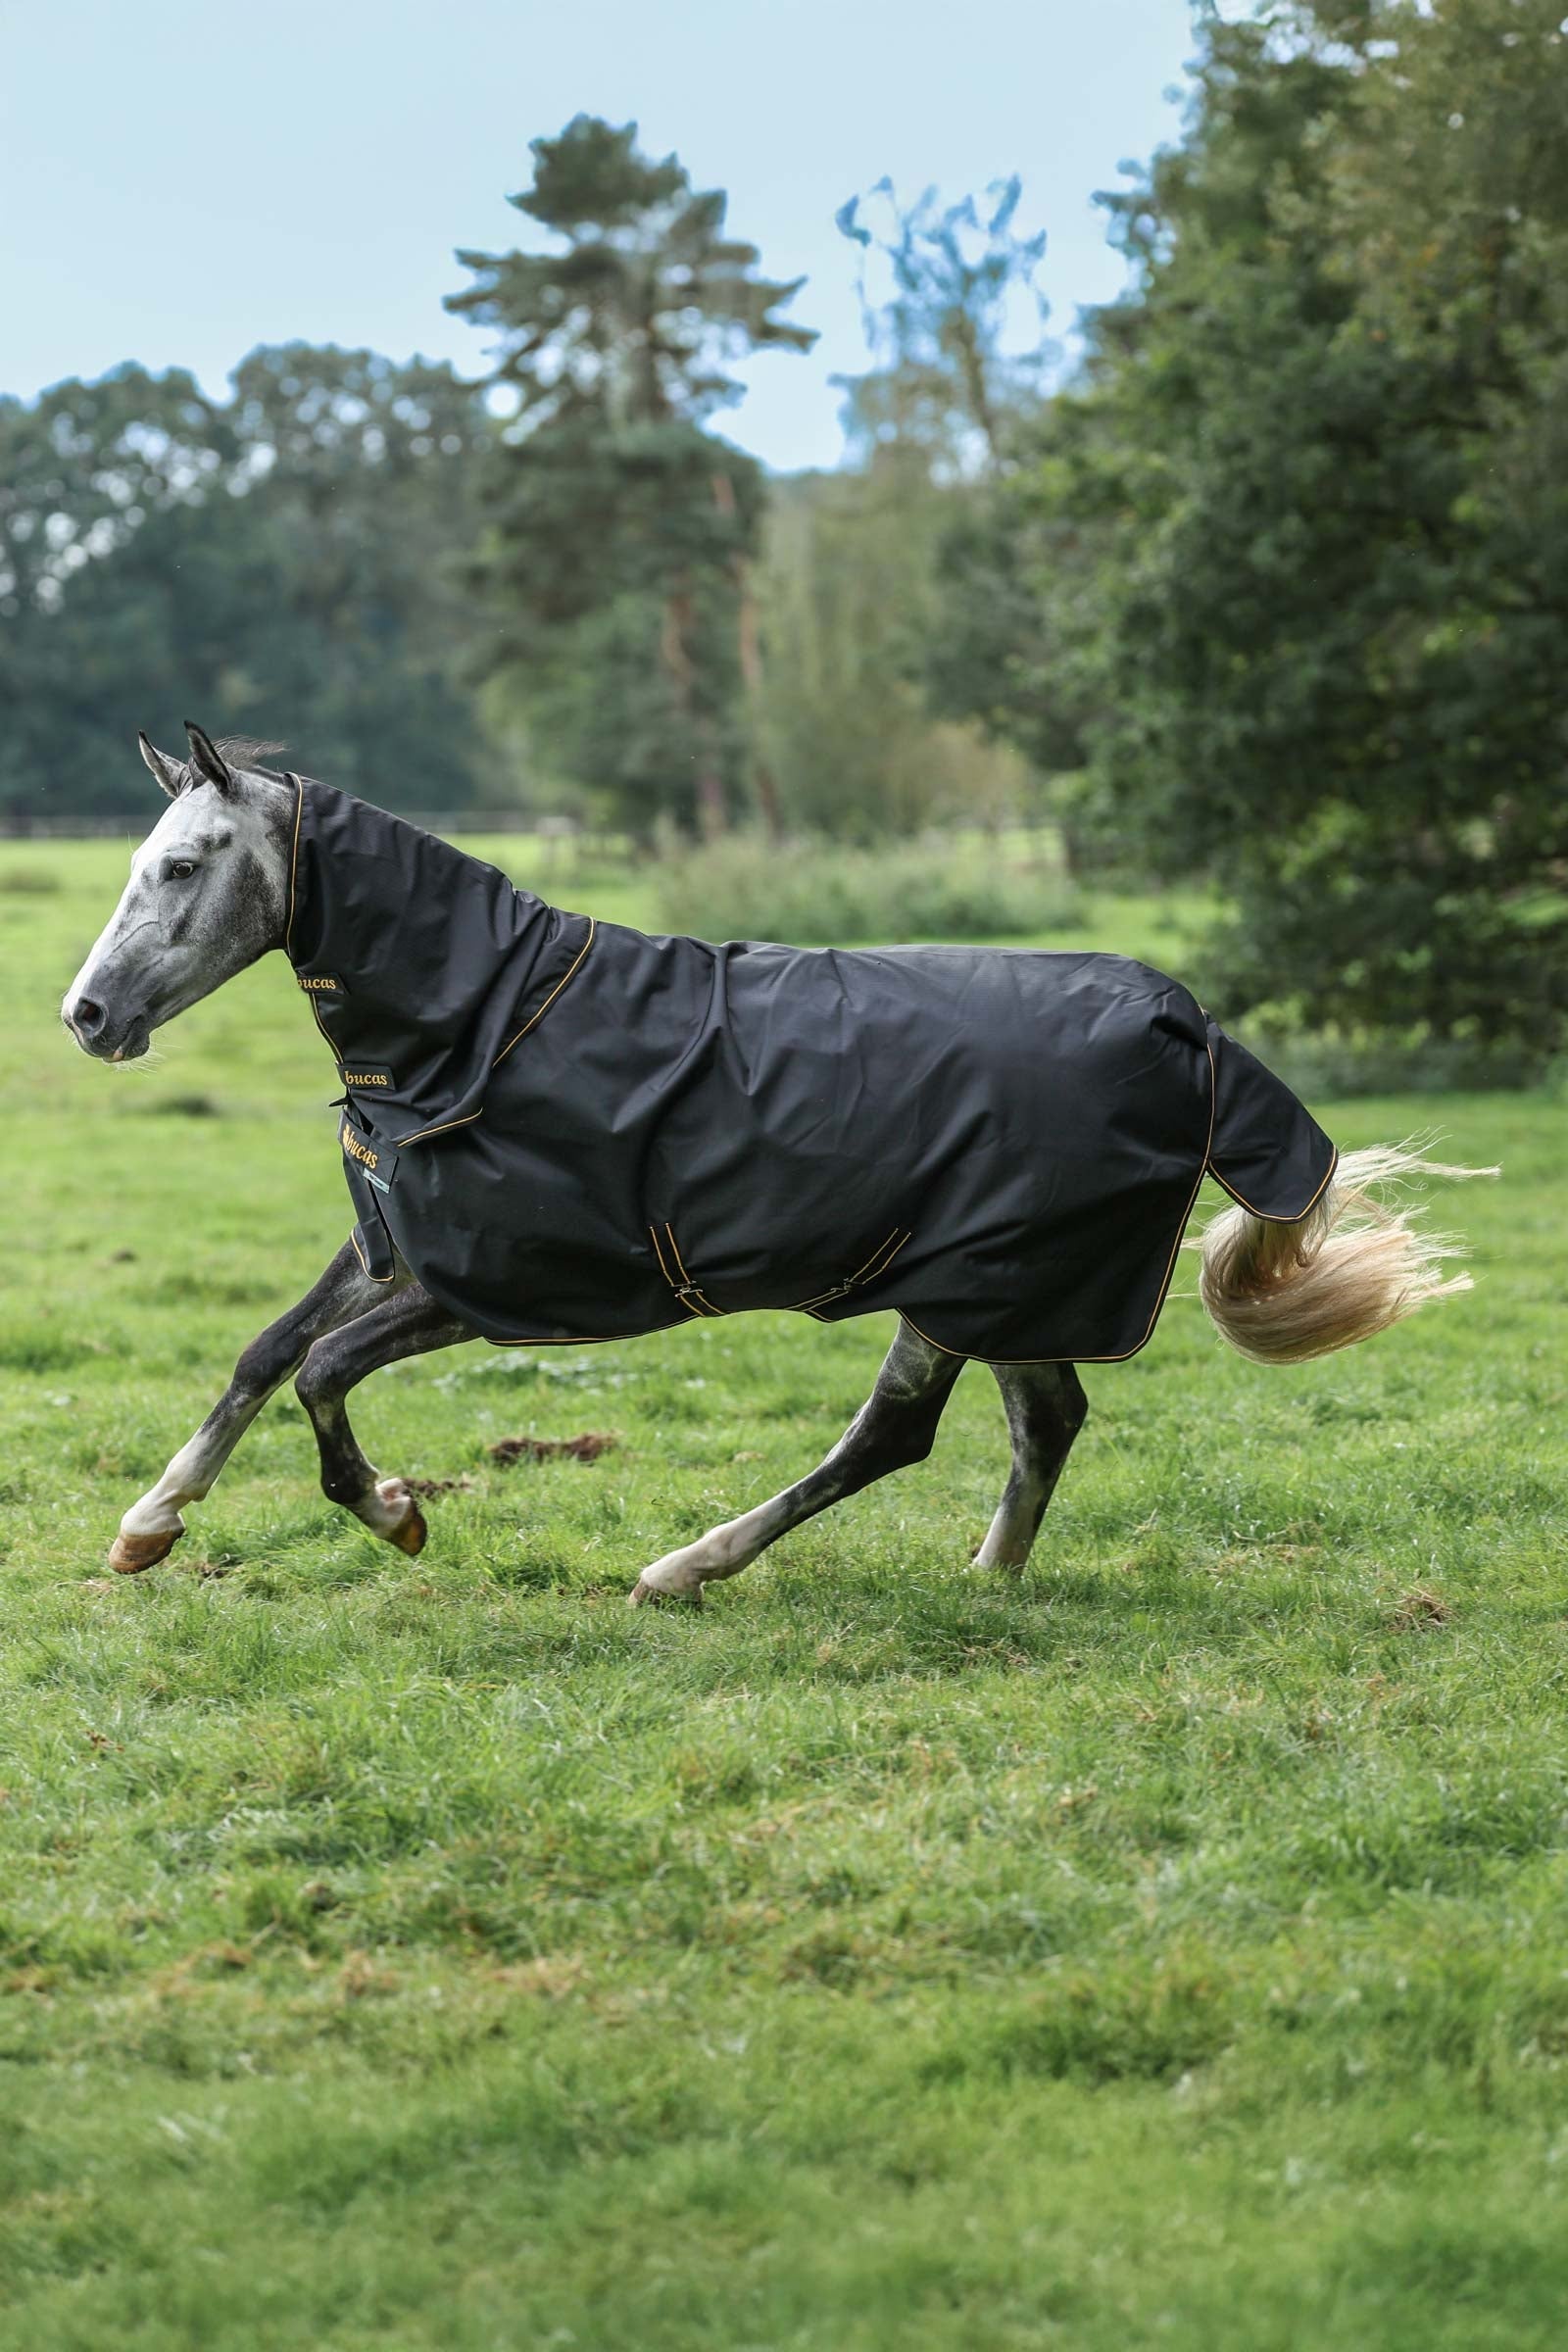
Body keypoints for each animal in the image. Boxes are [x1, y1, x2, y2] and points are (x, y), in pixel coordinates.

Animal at [61, 724, 1488, 1604]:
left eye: (180, 866)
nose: (87, 1015)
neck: (483, 1026)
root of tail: (1191, 1030)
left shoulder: (503, 1281)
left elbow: (321, 1374)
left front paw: (395, 1511)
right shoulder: (406, 1245)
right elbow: (262, 1354)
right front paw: (147, 1528)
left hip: (966, 1282)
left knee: (898, 1434)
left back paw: (687, 1570)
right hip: (1005, 1288)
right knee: (1043, 1421)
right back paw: (988, 1580)